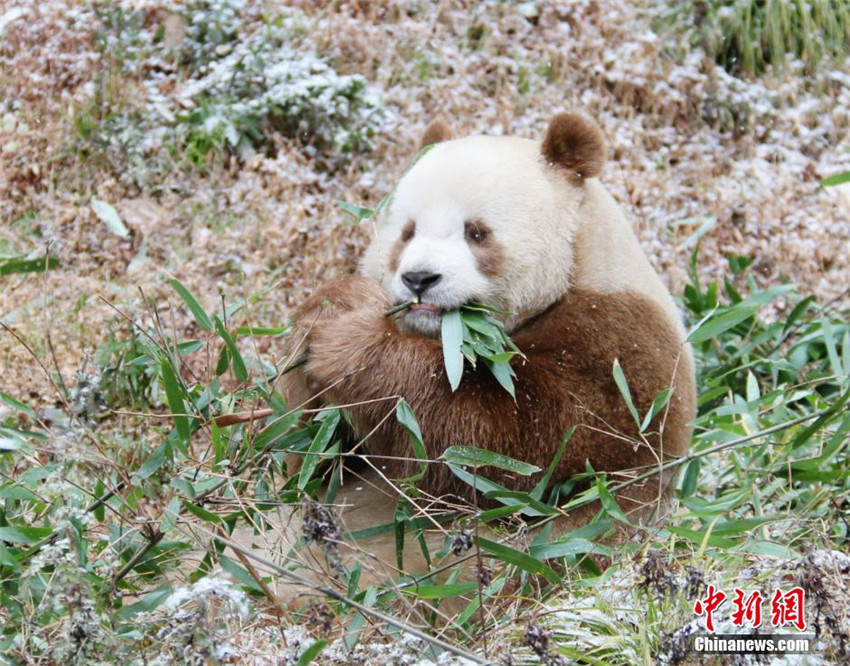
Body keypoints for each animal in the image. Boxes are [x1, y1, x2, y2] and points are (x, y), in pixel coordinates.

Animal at [281, 112, 696, 533]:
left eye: (476, 232)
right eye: (407, 232)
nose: (419, 278)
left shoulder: (618, 351)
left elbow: (506, 452)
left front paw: (353, 349)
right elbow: (312, 455)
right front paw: (337, 305)